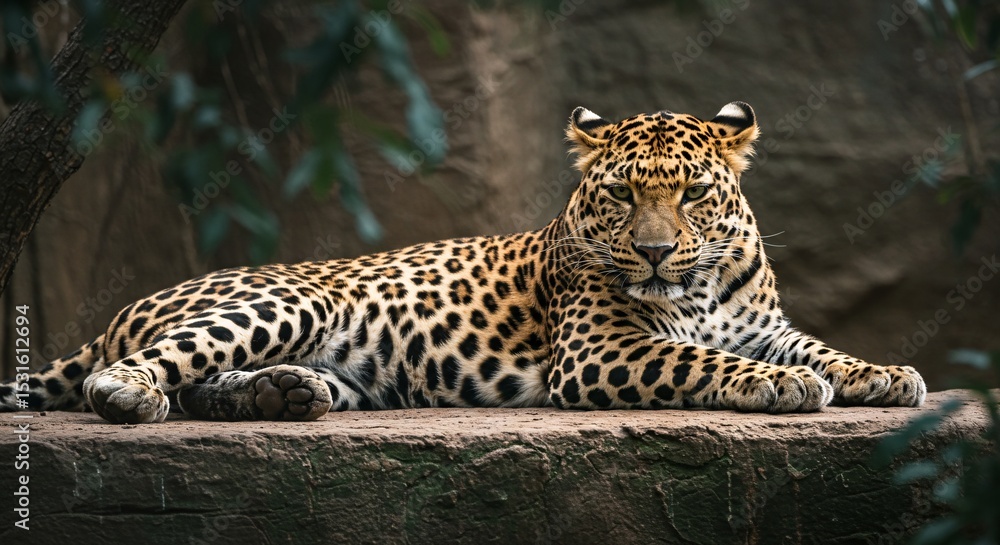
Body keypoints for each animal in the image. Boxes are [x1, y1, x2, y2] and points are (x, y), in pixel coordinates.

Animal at [0, 101, 926, 424]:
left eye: (695, 192)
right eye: (623, 194)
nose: (657, 252)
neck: (697, 283)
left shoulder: (758, 321)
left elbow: (818, 345)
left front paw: (884, 373)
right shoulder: (601, 351)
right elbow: (702, 358)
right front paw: (784, 385)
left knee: (215, 381)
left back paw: (282, 394)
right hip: (286, 301)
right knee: (143, 367)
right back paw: (132, 395)